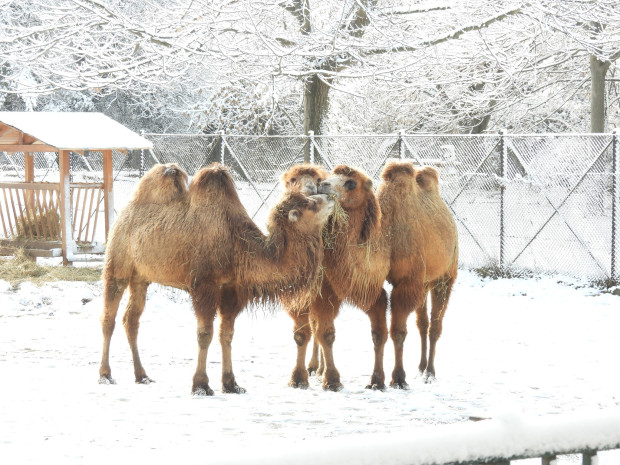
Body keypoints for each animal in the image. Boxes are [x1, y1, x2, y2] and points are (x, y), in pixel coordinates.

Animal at [98, 161, 334, 394]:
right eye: (311, 205)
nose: (329, 196)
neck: (237, 246)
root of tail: (124, 213)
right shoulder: (204, 285)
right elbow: (205, 334)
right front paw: (201, 385)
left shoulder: (231, 289)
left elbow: (226, 334)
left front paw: (231, 384)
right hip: (117, 266)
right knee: (109, 318)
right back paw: (105, 375)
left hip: (141, 278)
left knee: (131, 320)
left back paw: (142, 376)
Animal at [312, 165, 390, 390]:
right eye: (331, 175)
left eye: (351, 182)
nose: (322, 184)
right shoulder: (324, 293)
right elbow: (326, 335)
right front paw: (332, 380)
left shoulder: (373, 293)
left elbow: (380, 334)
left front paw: (377, 380)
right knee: (313, 328)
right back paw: (314, 369)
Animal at [376, 161, 458, 386]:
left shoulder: (408, 282)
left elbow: (398, 331)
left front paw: (398, 378)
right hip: (425, 282)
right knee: (423, 323)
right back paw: (421, 368)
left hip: (444, 278)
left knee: (435, 326)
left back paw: (430, 372)